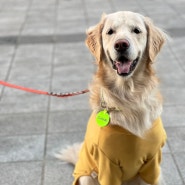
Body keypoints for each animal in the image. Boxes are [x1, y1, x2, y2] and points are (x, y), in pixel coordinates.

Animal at [57, 11, 168, 185]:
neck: (129, 97)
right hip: (87, 175)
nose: (121, 44)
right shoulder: (106, 163)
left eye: (136, 30)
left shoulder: (152, 164)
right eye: (110, 32)